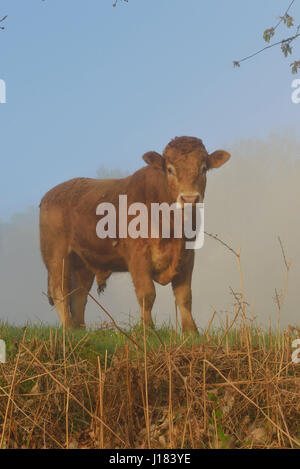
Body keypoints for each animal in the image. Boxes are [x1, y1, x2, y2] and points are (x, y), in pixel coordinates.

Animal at [39, 137, 231, 330]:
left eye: (203, 168)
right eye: (170, 169)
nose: (189, 198)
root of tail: (50, 195)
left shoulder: (187, 256)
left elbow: (184, 296)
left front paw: (191, 331)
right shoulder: (138, 256)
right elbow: (147, 294)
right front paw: (148, 329)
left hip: (83, 262)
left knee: (79, 296)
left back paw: (80, 330)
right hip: (57, 256)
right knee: (60, 291)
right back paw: (68, 329)